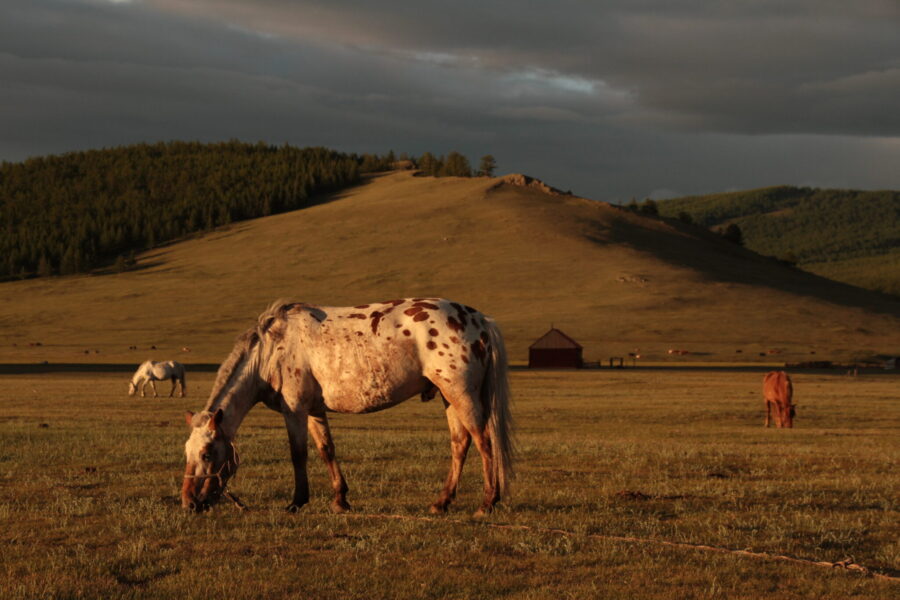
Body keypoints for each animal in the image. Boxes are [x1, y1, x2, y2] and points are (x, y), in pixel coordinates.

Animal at [180, 298, 513, 517]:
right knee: (460, 443)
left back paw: (487, 503)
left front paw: (297, 502)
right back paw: (441, 502)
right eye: (187, 452)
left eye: (206, 454)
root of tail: (480, 320)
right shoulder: (314, 410)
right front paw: (340, 499)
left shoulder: (295, 409)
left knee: (484, 442)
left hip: (460, 393)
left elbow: (298, 454)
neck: (270, 351)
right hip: (448, 396)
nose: (188, 503)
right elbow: (326, 449)